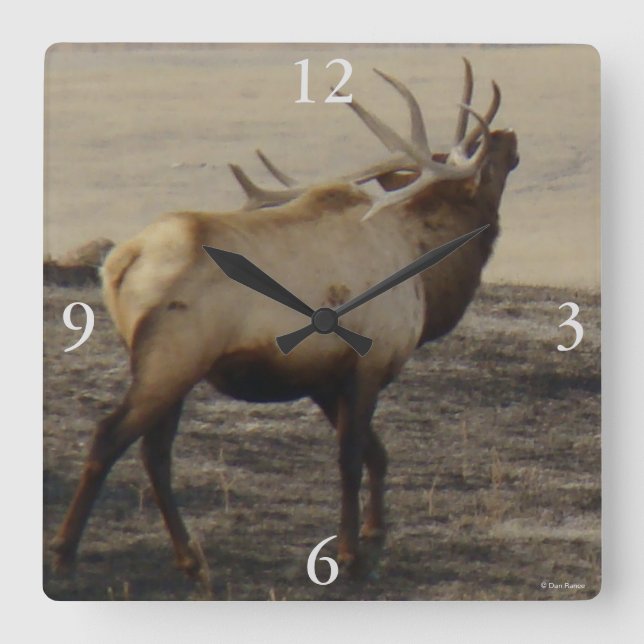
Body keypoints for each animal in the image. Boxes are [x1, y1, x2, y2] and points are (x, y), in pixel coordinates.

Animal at [50, 58, 519, 579]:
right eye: (486, 159)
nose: (509, 133)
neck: (427, 274)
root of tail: (119, 262)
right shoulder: (367, 365)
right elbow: (351, 458)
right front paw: (349, 552)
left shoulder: (324, 378)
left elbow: (376, 453)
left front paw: (376, 530)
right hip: (171, 361)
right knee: (111, 437)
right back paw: (67, 551)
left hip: (163, 367)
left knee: (154, 451)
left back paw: (189, 557)